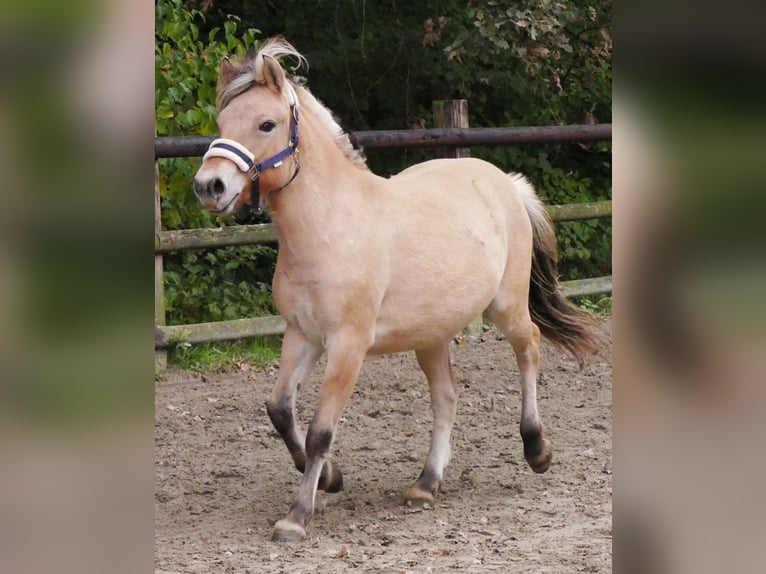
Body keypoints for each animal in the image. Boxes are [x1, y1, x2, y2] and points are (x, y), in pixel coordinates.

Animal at [192, 37, 601, 542]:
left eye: (265, 124)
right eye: (222, 123)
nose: (209, 186)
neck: (329, 227)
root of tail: (504, 181)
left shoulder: (347, 345)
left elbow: (321, 430)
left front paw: (297, 517)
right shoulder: (300, 335)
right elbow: (280, 410)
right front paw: (330, 478)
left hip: (507, 307)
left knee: (531, 349)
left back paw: (537, 450)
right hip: (431, 334)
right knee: (446, 396)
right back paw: (426, 484)